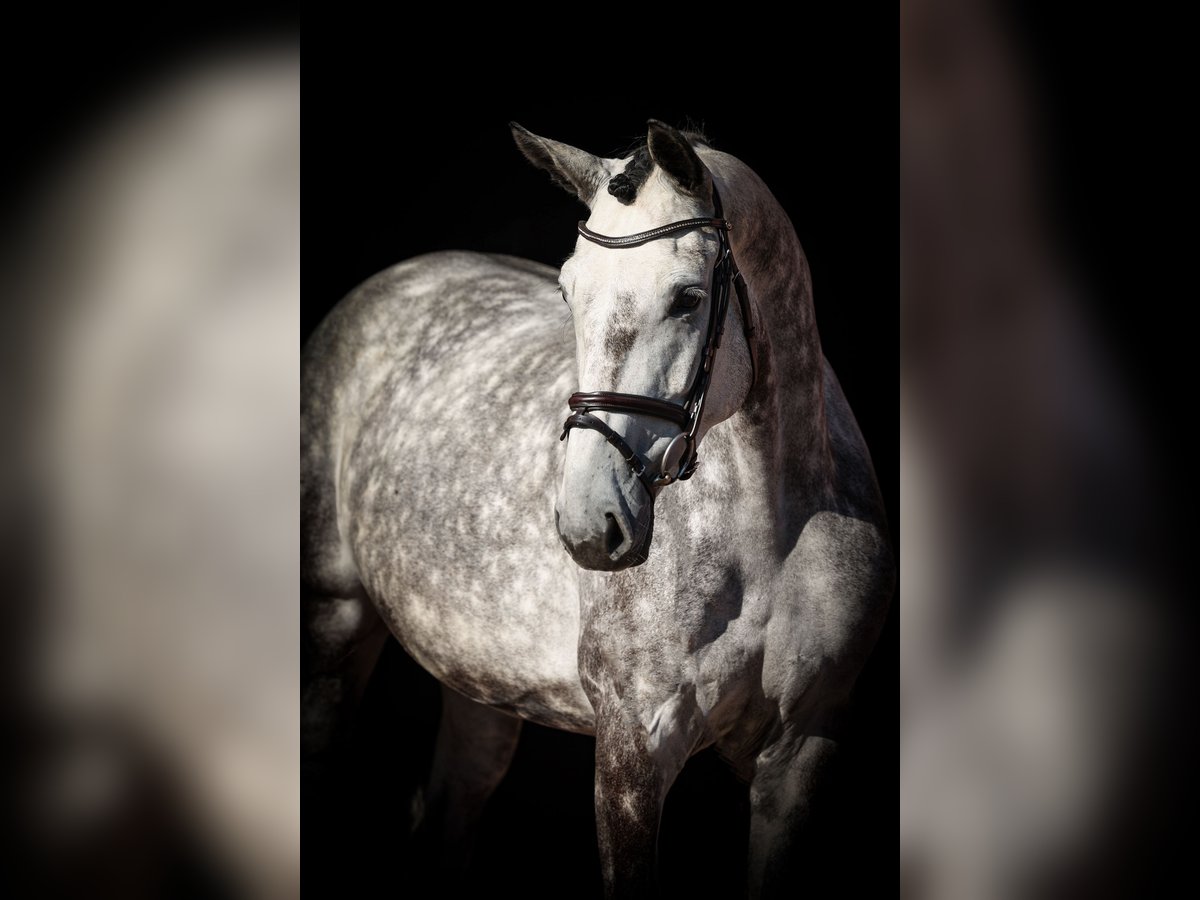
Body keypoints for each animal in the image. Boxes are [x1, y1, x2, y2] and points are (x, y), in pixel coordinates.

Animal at [301, 120, 893, 896]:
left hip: (480, 690)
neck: (770, 527)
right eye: (568, 291)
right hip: (333, 630)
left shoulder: (804, 747)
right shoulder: (633, 749)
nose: (590, 525)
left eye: (686, 298)